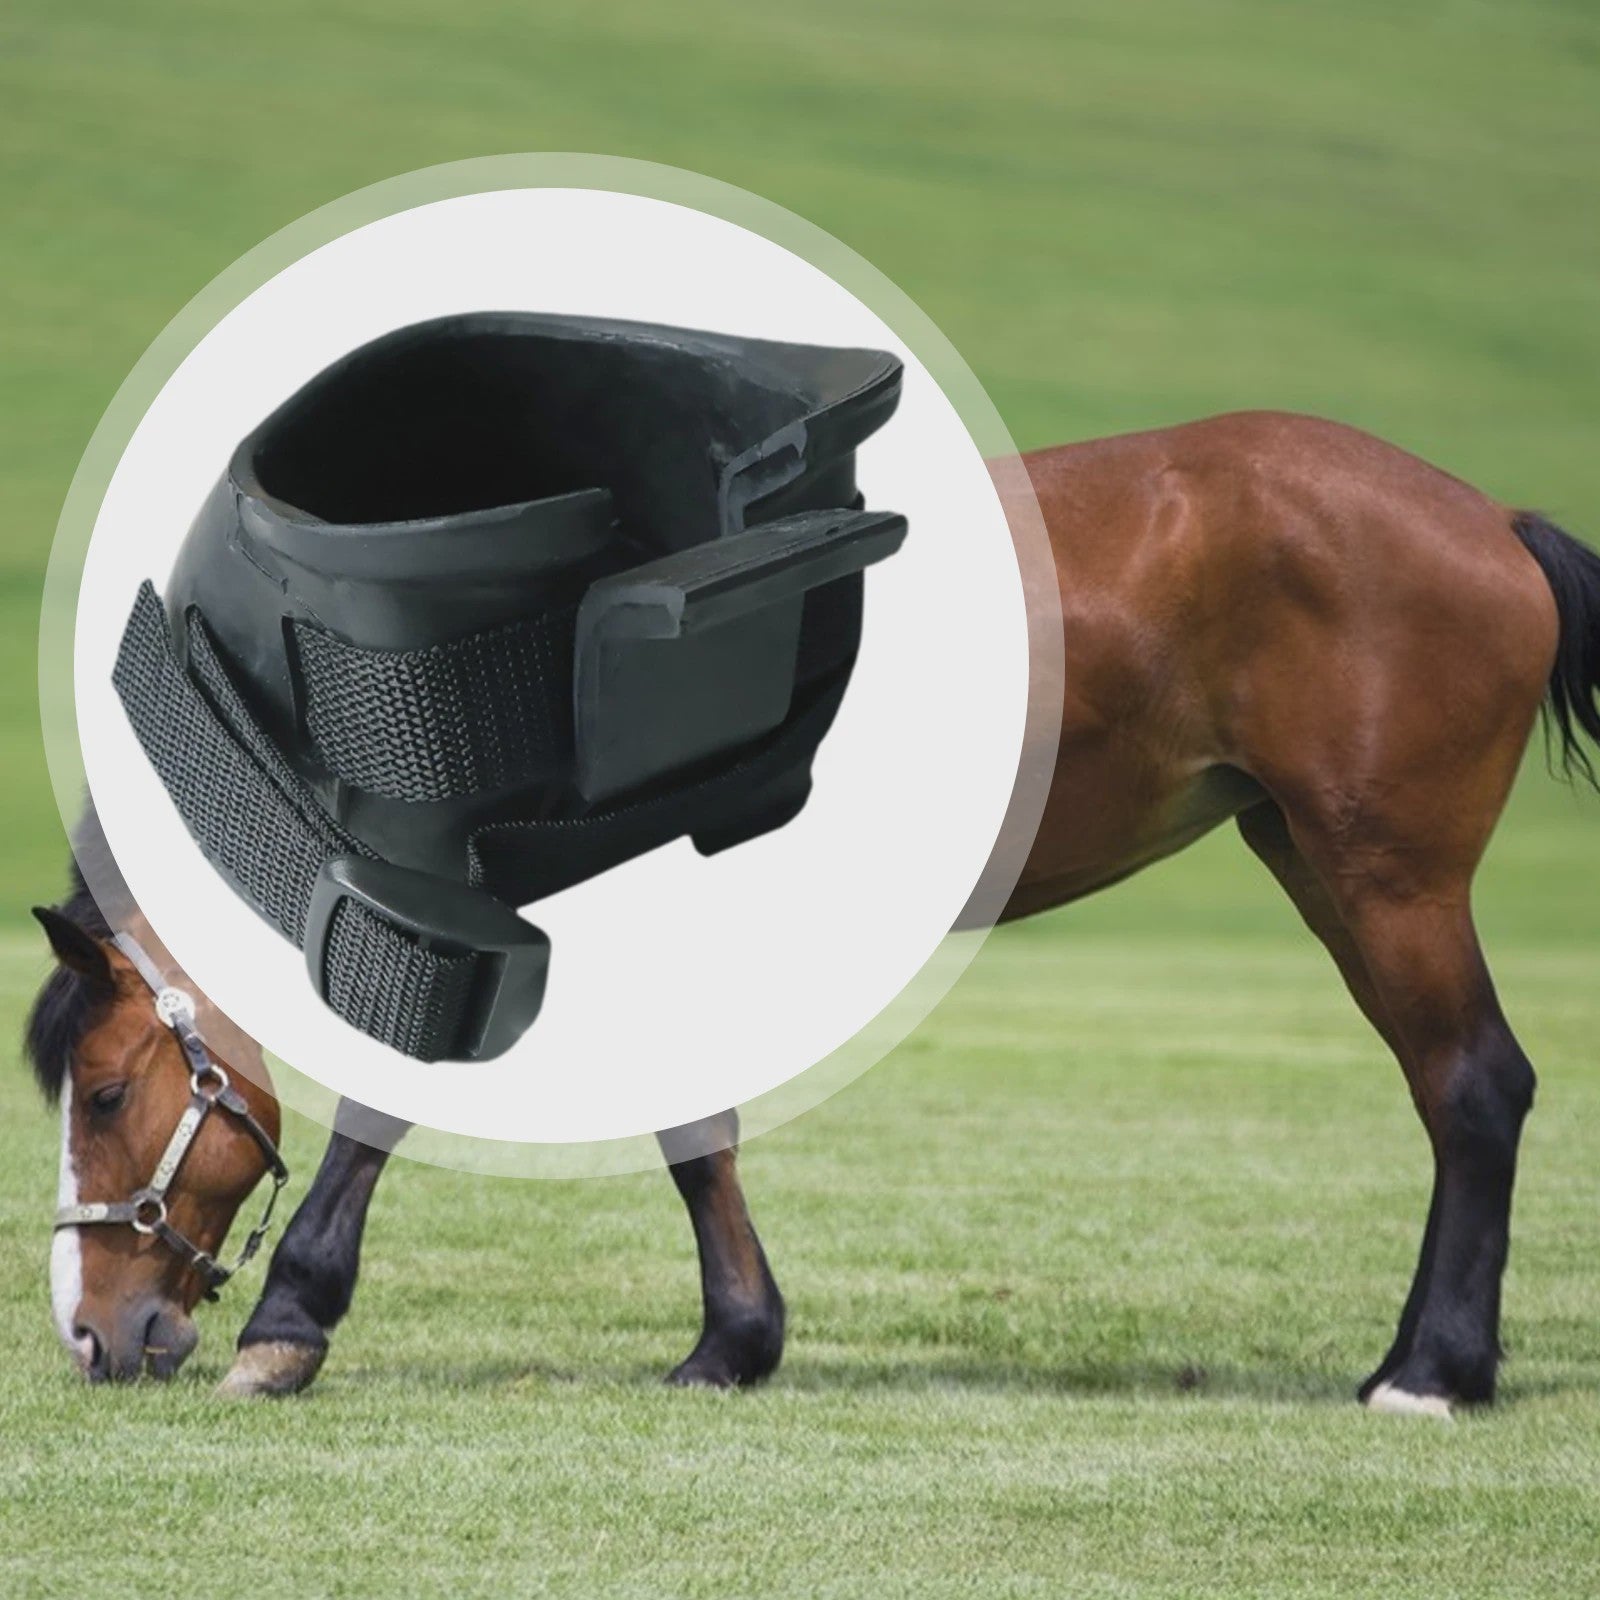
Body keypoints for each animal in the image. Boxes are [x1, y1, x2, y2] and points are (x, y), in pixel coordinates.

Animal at [29, 410, 1600, 1414]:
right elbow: (695, 1136)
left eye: (103, 1093)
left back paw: (1431, 1374)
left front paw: (291, 1321)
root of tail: (1489, 516)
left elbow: (383, 1113)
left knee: (1473, 1087)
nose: (93, 1333)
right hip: (1316, 859)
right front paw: (734, 1341)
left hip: (1385, 880)